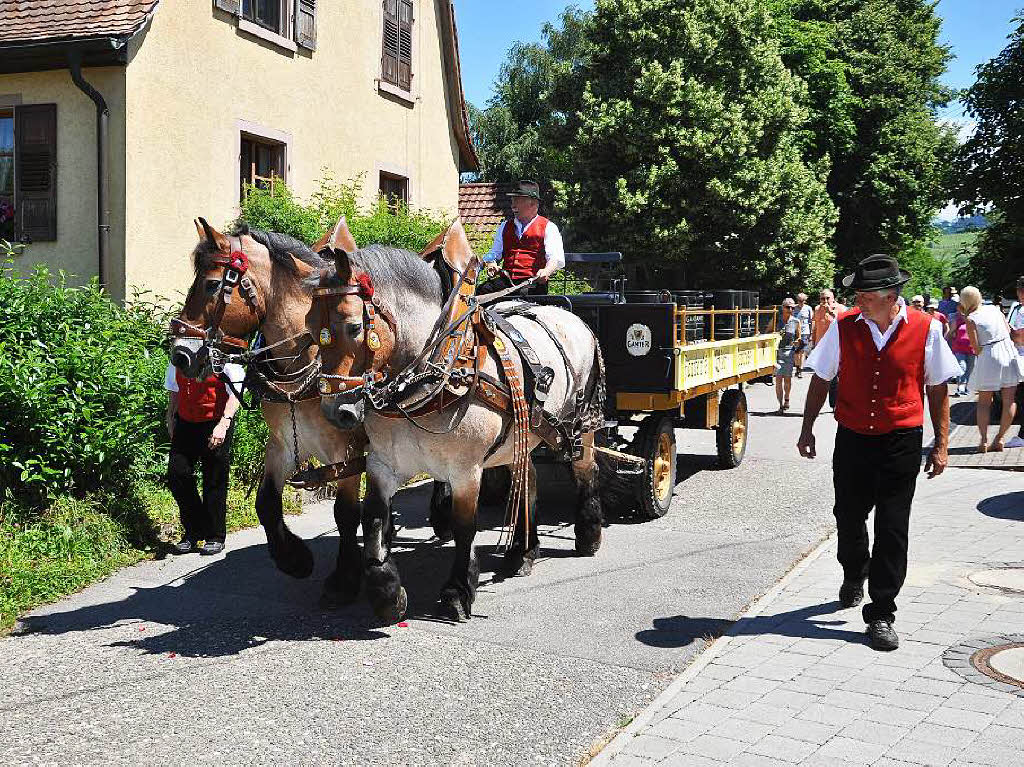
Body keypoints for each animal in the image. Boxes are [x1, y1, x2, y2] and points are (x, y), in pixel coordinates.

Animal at [307, 217, 602, 622]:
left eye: (353, 327)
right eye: (309, 326)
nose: (336, 411)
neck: (433, 371)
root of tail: (571, 317)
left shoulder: (465, 470)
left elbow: (465, 527)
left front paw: (458, 591)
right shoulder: (383, 463)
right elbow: (374, 518)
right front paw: (386, 592)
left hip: (581, 424)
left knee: (585, 470)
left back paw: (588, 533)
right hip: (523, 434)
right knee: (526, 481)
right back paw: (522, 553)